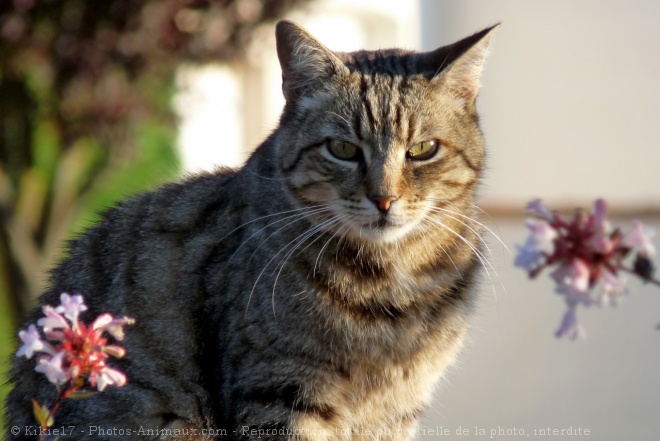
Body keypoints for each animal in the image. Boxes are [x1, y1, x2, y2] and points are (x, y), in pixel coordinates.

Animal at [6, 19, 496, 440]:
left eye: (423, 149)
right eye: (341, 149)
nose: (384, 198)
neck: (390, 286)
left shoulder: (398, 411)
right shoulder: (278, 392)